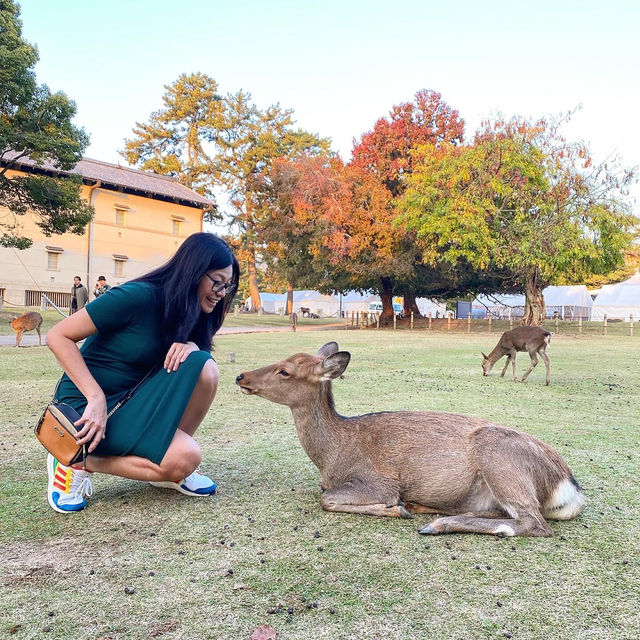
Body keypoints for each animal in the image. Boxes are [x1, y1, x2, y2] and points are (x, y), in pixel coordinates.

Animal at [236, 342, 584, 536]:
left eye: (285, 371)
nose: (241, 376)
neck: (332, 455)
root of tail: (570, 486)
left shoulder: (379, 481)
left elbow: (327, 499)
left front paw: (396, 509)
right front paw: (404, 508)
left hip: (499, 459)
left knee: (533, 523)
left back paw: (436, 523)